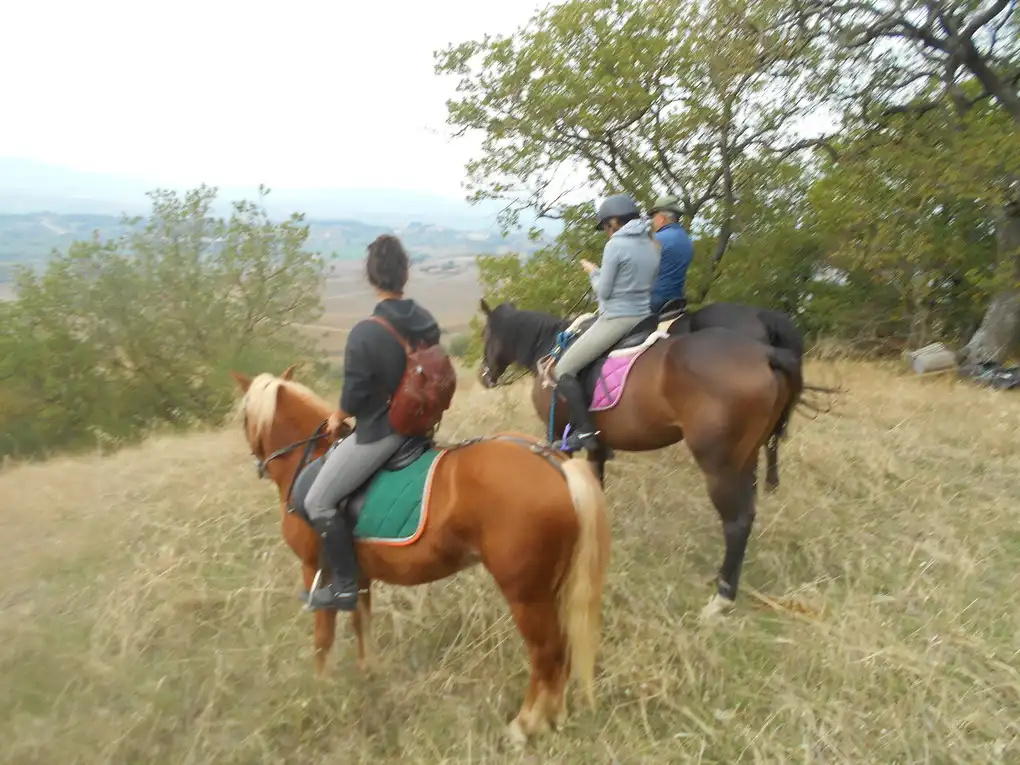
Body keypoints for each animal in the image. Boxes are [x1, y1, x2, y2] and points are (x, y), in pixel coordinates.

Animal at [230, 366, 611, 745]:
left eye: (244, 416)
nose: (258, 463)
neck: (309, 458)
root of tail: (550, 461)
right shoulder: (356, 575)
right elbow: (361, 623)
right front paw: (369, 674)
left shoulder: (315, 570)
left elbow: (323, 638)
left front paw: (322, 691)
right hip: (552, 587)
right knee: (560, 655)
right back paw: (553, 718)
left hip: (526, 594)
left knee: (546, 654)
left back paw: (524, 725)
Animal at [477, 300, 803, 622]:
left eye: (485, 335)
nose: (484, 376)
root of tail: (765, 353)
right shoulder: (598, 445)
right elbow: (596, 484)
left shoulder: (558, 435)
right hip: (746, 457)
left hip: (720, 467)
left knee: (736, 523)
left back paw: (720, 599)